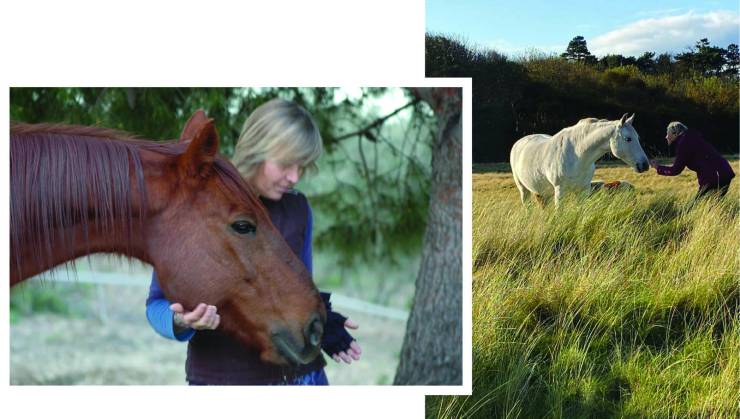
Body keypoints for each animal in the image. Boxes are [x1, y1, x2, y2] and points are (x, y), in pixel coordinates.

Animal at [510, 113, 649, 206]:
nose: (645, 165)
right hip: (523, 189)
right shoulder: (560, 191)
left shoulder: (584, 190)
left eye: (638, 138)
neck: (577, 156)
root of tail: (519, 142)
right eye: (628, 139)